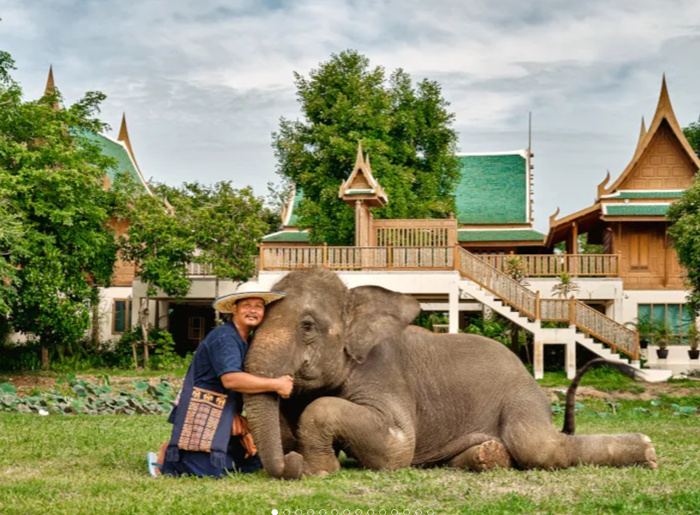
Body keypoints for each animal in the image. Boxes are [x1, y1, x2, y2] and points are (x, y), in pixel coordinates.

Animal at [243, 268, 657, 479]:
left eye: (307, 326)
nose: (289, 465)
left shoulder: (384, 373)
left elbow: (396, 448)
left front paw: (318, 470)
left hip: (519, 398)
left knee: (537, 446)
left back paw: (648, 451)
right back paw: (487, 456)